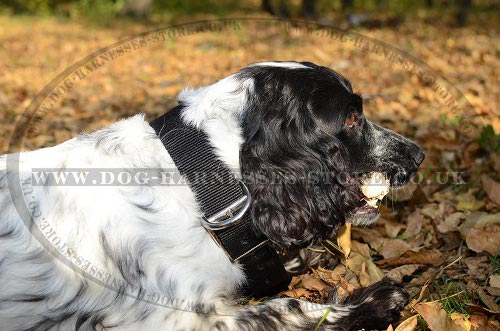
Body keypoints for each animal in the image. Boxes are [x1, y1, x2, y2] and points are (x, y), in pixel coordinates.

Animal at [0, 61, 422, 330]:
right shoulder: (181, 318)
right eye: (349, 118)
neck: (195, 182)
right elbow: (284, 307)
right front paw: (374, 301)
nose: (418, 155)